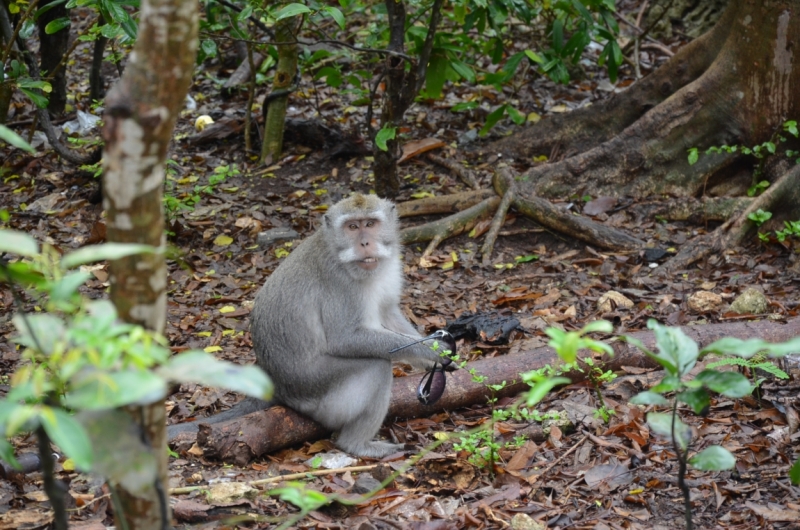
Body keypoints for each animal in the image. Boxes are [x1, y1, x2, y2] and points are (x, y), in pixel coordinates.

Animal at [168, 192, 450, 456]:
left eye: (370, 223)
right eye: (352, 227)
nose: (365, 243)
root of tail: (276, 386)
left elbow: (388, 312)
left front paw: (433, 356)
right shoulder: (340, 283)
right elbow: (346, 339)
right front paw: (432, 351)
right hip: (318, 392)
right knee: (377, 365)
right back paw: (357, 445)